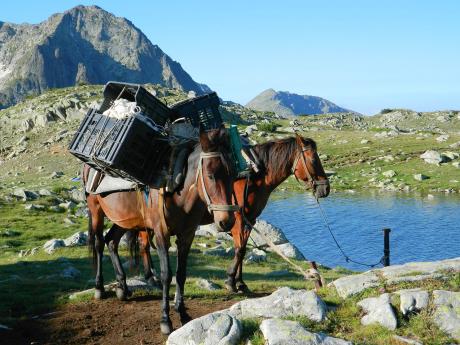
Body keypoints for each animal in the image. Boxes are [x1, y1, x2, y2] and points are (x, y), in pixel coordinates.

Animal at [82, 125, 237, 334]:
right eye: (211, 175)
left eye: (233, 174)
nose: (226, 222)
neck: (178, 189)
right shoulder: (161, 234)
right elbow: (166, 275)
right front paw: (165, 319)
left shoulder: (187, 235)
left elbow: (181, 274)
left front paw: (183, 313)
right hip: (96, 210)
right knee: (99, 243)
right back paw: (99, 287)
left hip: (125, 218)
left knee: (112, 241)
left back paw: (122, 286)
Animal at [125, 133, 330, 292]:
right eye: (313, 160)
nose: (325, 189)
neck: (254, 175)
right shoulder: (239, 219)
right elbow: (240, 249)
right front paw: (231, 281)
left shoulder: (250, 220)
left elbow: (243, 248)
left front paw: (240, 282)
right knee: (144, 244)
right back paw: (150, 277)